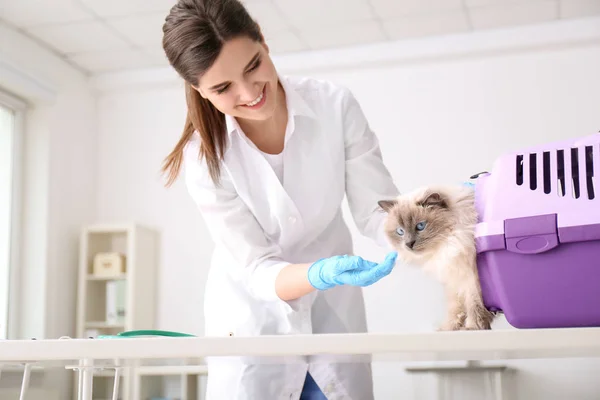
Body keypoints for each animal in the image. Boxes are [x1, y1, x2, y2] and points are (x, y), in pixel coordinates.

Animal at [378, 184, 494, 332]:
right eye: (400, 231)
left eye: (420, 226)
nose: (409, 244)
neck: (446, 246)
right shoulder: (453, 279)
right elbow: (455, 308)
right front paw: (449, 328)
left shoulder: (472, 278)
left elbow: (474, 305)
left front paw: (472, 327)